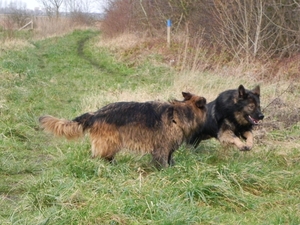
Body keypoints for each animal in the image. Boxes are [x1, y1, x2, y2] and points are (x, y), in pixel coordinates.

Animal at [38, 91, 206, 167]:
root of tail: (95, 114)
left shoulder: (168, 148)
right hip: (110, 141)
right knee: (100, 156)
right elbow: (163, 160)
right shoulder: (162, 147)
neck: (178, 114)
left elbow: (170, 158)